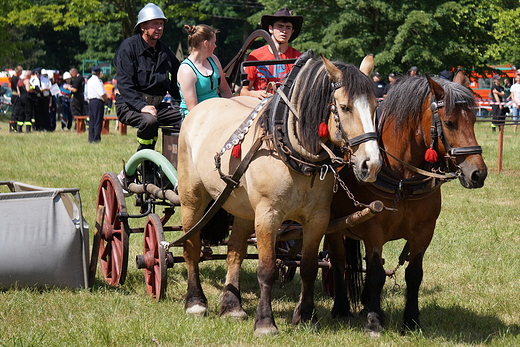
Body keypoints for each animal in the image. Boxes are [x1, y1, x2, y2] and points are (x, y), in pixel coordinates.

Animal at [179, 51, 382, 338]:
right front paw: (265, 322)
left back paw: (232, 306)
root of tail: (201, 108)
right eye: (344, 107)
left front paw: (306, 316)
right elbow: (267, 269)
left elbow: (308, 267)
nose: (371, 164)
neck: (292, 151)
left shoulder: (318, 218)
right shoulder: (268, 215)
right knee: (191, 247)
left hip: (242, 207)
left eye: (376, 106)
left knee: (235, 251)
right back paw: (195, 301)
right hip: (192, 199)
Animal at [324, 72, 488, 336]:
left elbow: (413, 274)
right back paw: (341, 308)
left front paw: (411, 320)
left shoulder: (424, 231)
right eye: (449, 123)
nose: (478, 174)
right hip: (333, 227)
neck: (402, 178)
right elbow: (376, 275)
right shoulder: (373, 230)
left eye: (473, 120)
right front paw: (374, 321)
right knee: (339, 263)